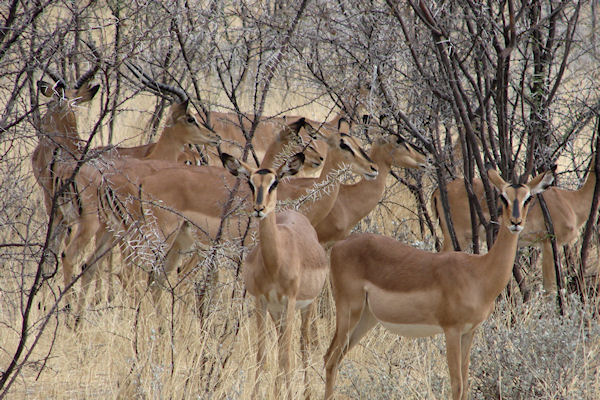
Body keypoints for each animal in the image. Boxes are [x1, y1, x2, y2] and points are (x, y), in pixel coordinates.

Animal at [223, 152, 330, 400]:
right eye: (251, 182)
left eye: (274, 182)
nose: (259, 208)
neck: (275, 263)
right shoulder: (261, 302)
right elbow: (262, 355)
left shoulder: (290, 302)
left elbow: (287, 357)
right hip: (276, 312)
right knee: (281, 343)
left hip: (307, 306)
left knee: (302, 345)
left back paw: (307, 393)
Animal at [324, 166, 552, 400]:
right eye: (503, 197)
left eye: (528, 198)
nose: (516, 222)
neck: (479, 273)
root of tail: (339, 246)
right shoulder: (451, 330)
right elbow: (456, 384)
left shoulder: (469, 332)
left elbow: (465, 382)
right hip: (349, 312)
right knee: (329, 359)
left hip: (366, 318)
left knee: (336, 358)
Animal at [434, 152, 596, 292]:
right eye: (503, 197)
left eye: (529, 198)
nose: (516, 222)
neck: (571, 202)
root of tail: (437, 191)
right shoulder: (550, 244)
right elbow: (550, 288)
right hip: (458, 238)